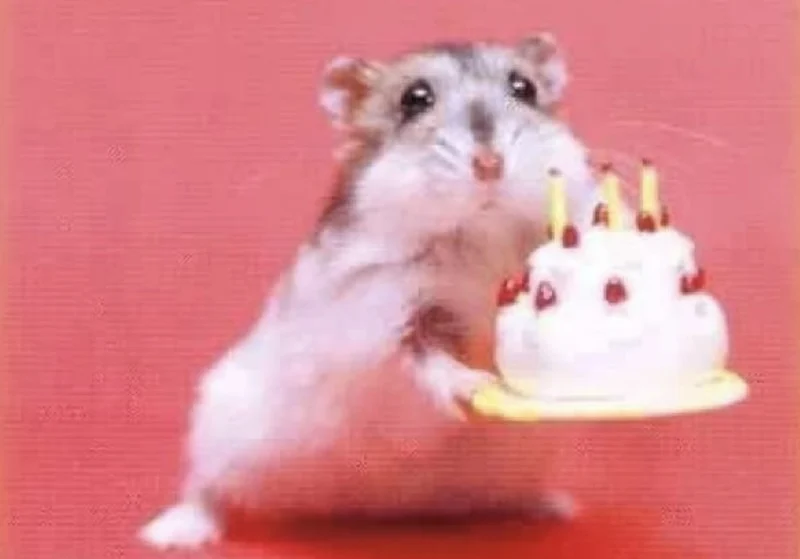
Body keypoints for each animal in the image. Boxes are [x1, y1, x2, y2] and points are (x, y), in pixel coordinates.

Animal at [139, 33, 605, 550]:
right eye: (414, 99)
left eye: (524, 87)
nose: (490, 165)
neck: (483, 235)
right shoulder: (382, 315)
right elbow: (425, 357)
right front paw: (477, 386)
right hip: (220, 426)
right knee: (204, 487)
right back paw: (171, 533)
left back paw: (555, 507)